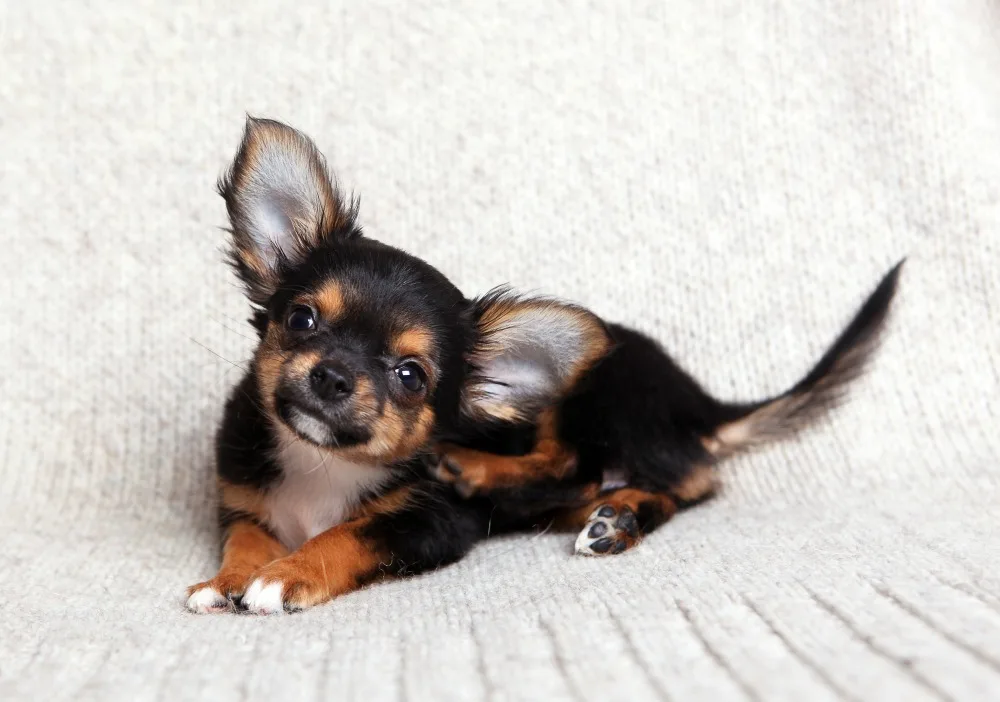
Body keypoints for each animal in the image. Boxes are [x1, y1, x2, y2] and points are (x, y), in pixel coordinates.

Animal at [184, 119, 904, 616]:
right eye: (303, 319)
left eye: (411, 376)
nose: (332, 376)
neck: (322, 464)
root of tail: (693, 397)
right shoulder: (245, 504)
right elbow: (246, 541)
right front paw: (228, 580)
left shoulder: (430, 523)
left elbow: (350, 535)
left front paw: (289, 574)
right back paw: (614, 517)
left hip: (603, 401)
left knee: (622, 471)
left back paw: (500, 476)